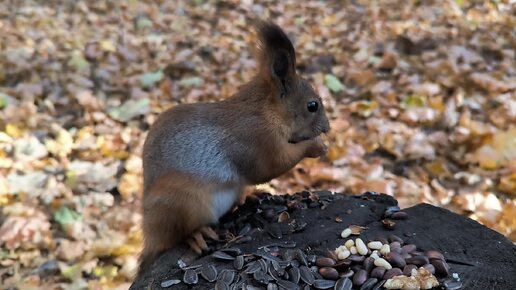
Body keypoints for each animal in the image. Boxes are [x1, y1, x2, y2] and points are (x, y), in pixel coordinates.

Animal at [138, 21, 330, 274]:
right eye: (312, 105)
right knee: (178, 234)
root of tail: (151, 233)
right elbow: (271, 167)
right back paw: (197, 235)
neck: (266, 112)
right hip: (180, 202)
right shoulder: (257, 141)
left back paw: (250, 197)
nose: (327, 127)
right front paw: (315, 147)